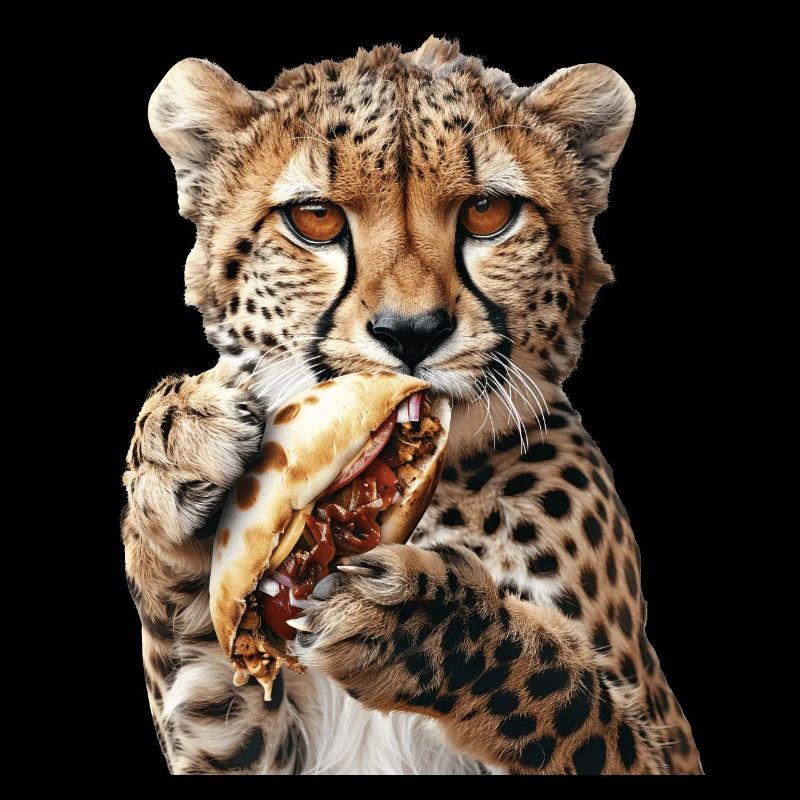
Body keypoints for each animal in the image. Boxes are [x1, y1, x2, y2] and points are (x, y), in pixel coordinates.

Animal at [122, 37, 703, 774]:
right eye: (314, 218)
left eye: (488, 213)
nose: (412, 332)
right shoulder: (239, 740)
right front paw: (179, 445)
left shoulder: (662, 746)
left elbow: (566, 697)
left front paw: (425, 617)